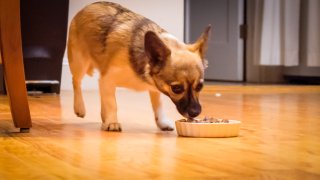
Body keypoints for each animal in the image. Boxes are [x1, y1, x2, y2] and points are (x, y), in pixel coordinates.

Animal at [68, 1, 210, 131]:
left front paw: (161, 122)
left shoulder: (154, 88)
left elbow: (158, 105)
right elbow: (112, 103)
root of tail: (89, 6)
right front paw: (112, 121)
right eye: (176, 89)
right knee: (76, 81)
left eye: (200, 86)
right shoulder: (107, 80)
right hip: (80, 63)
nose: (195, 112)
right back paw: (79, 107)